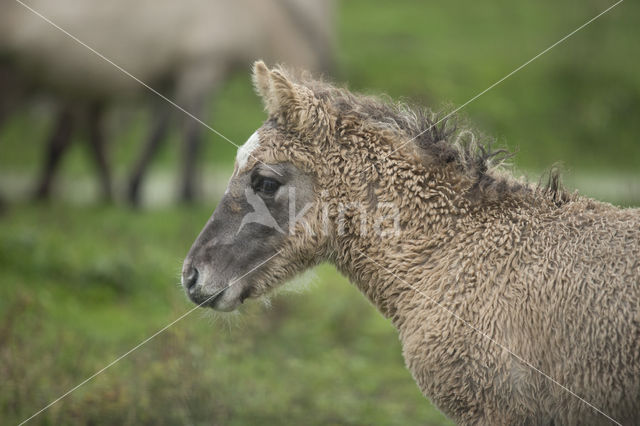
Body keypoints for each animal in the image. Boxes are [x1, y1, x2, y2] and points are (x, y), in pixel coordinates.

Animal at [0, 0, 332, 205]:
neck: (250, 14)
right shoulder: (199, 70)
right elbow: (193, 137)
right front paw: (188, 194)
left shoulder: (169, 82)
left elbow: (158, 135)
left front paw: (134, 190)